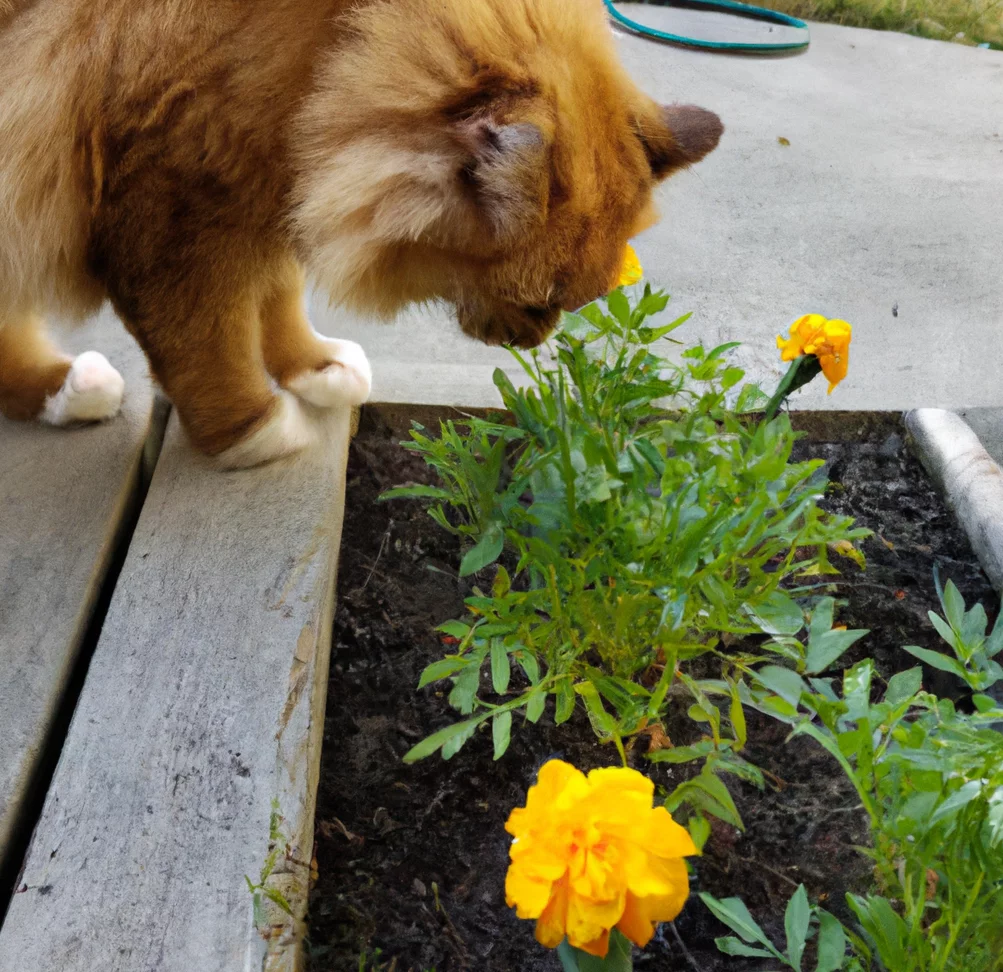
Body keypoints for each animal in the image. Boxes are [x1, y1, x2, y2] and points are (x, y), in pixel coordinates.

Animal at [0, 0, 722, 467]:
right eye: (539, 304)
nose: (531, 343)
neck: (334, 48)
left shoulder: (267, 190)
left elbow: (276, 302)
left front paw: (314, 368)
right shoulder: (172, 213)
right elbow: (211, 347)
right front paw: (253, 431)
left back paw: (67, 390)